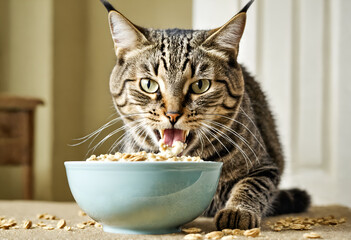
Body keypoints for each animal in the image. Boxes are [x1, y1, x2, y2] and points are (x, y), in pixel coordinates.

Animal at [99, 0, 310, 230]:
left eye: (200, 85)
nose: (173, 114)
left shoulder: (266, 166)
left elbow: (251, 186)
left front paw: (237, 212)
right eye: (148, 84)